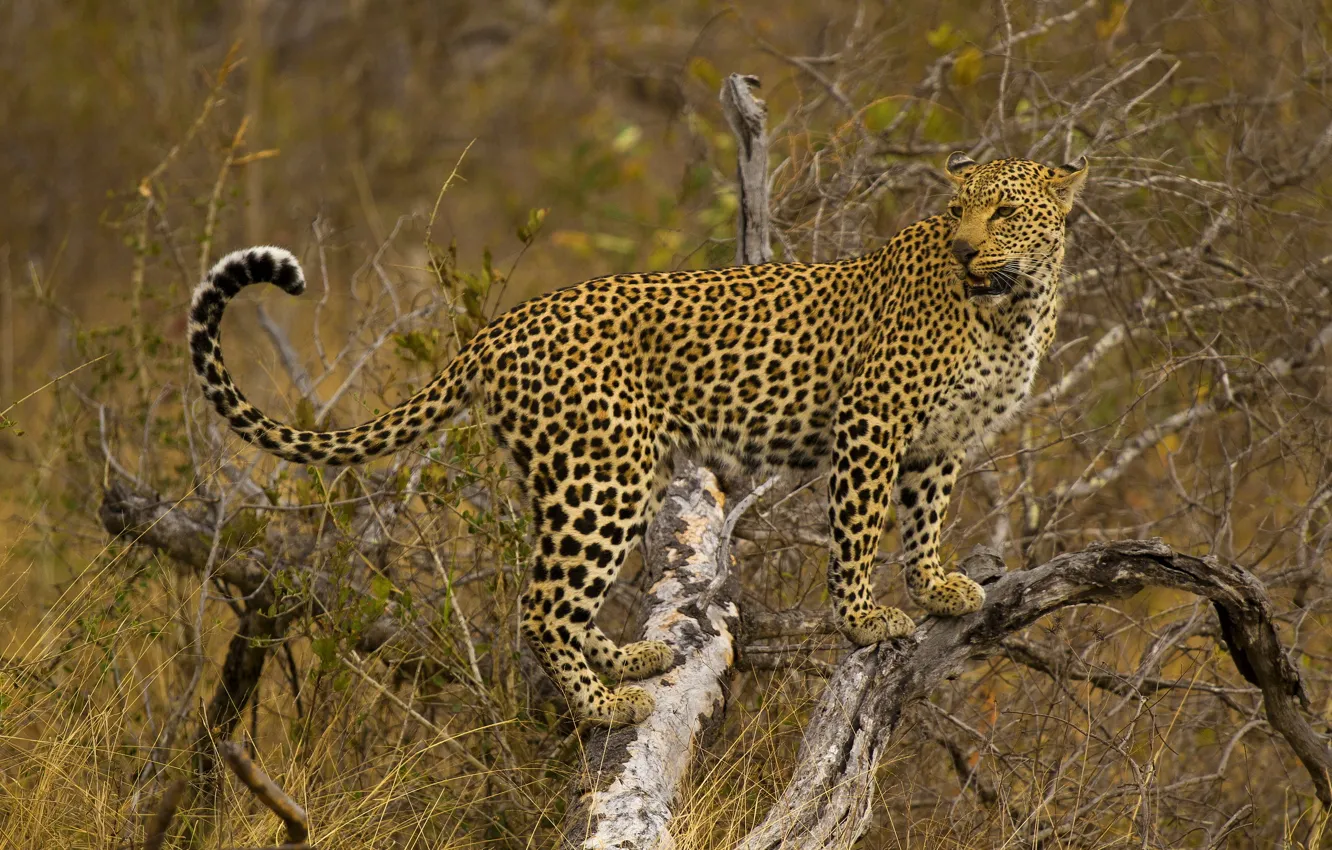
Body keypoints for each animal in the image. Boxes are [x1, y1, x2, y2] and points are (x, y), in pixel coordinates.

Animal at [188, 152, 1088, 727]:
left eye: (1003, 211)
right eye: (957, 211)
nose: (966, 248)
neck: (1014, 304)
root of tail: (499, 330)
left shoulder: (938, 440)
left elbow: (924, 518)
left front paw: (937, 587)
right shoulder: (874, 421)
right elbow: (861, 531)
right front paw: (867, 620)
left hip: (593, 475)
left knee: (561, 595)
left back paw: (626, 664)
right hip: (604, 478)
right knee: (541, 605)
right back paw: (603, 705)